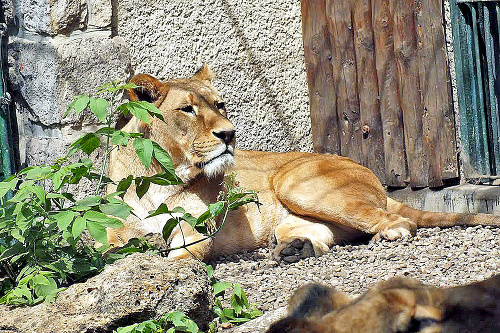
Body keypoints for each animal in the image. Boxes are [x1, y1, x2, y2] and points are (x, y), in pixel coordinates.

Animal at [107, 64, 500, 260]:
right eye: (187, 109)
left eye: (220, 105)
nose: (229, 134)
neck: (159, 176)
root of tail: (374, 178)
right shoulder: (110, 233)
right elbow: (109, 250)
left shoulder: (195, 234)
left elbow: (180, 260)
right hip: (291, 217)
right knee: (323, 232)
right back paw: (297, 249)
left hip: (297, 184)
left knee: (400, 221)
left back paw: (384, 233)